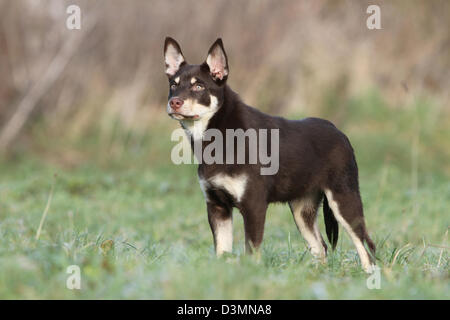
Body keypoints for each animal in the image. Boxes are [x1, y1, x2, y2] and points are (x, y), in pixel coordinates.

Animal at [163, 37, 374, 272]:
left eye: (198, 86)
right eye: (173, 85)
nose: (174, 102)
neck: (219, 136)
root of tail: (339, 132)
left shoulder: (253, 205)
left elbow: (251, 250)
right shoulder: (217, 206)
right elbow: (222, 252)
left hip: (344, 199)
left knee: (366, 246)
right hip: (302, 209)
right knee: (321, 247)